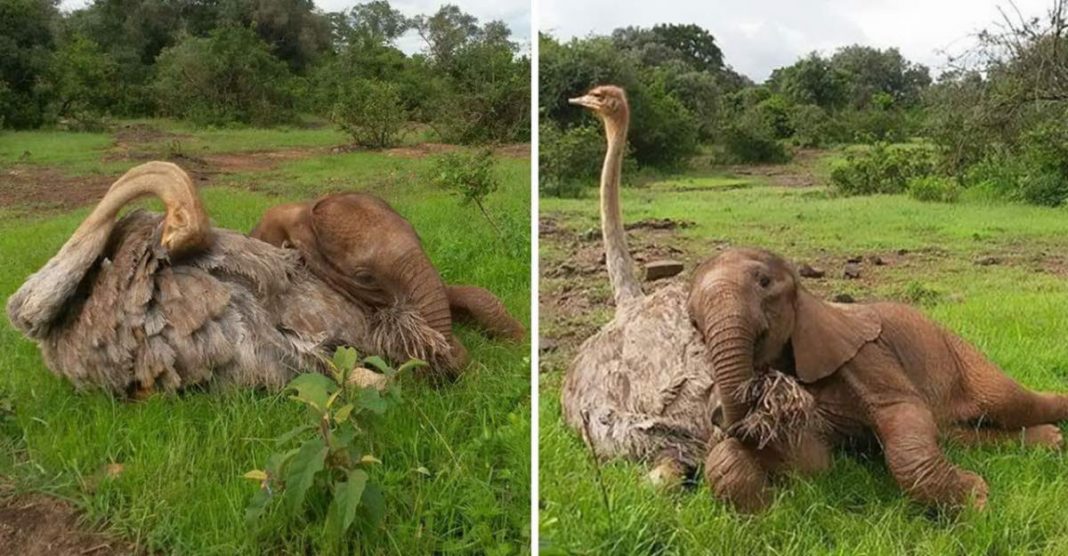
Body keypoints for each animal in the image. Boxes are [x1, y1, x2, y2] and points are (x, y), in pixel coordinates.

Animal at [687, 247, 1063, 512]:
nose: (719, 417)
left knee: (1008, 401)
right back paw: (1052, 440)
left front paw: (977, 502)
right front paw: (770, 509)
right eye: (693, 320)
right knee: (950, 432)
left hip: (959, 353)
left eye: (764, 283)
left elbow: (903, 413)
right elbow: (812, 462)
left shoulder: (866, 355)